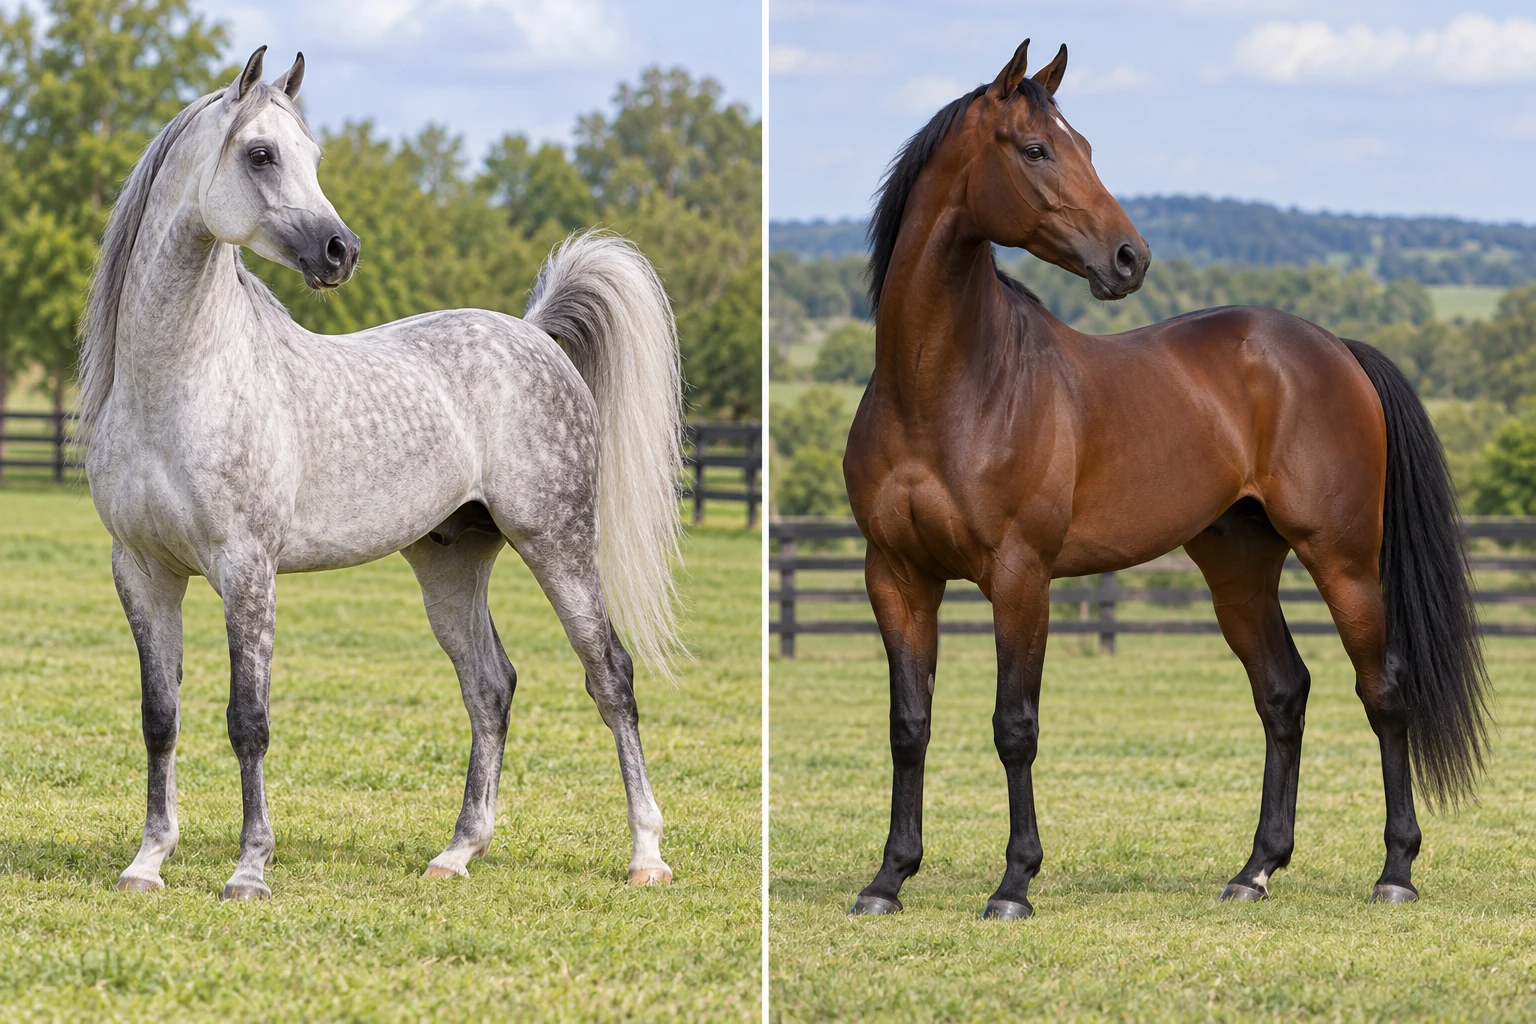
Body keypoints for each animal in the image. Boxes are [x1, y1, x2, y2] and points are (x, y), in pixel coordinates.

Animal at [81, 47, 685, 901]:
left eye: (312, 155)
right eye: (260, 154)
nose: (341, 250)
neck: (182, 381)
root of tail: (535, 337)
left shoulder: (245, 569)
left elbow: (247, 720)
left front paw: (249, 870)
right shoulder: (141, 571)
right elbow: (159, 717)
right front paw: (147, 861)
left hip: (558, 542)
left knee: (610, 676)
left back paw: (645, 854)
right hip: (449, 561)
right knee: (490, 687)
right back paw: (458, 852)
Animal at [842, 39, 1488, 919]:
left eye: (1086, 146)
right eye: (1036, 149)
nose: (1130, 257)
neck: (944, 389)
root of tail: (1333, 346)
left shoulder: (1020, 576)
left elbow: (1015, 727)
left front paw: (1014, 884)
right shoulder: (898, 577)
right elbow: (909, 726)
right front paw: (888, 879)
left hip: (1345, 558)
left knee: (1383, 691)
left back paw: (1395, 871)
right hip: (1238, 566)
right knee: (1283, 692)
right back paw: (1254, 870)